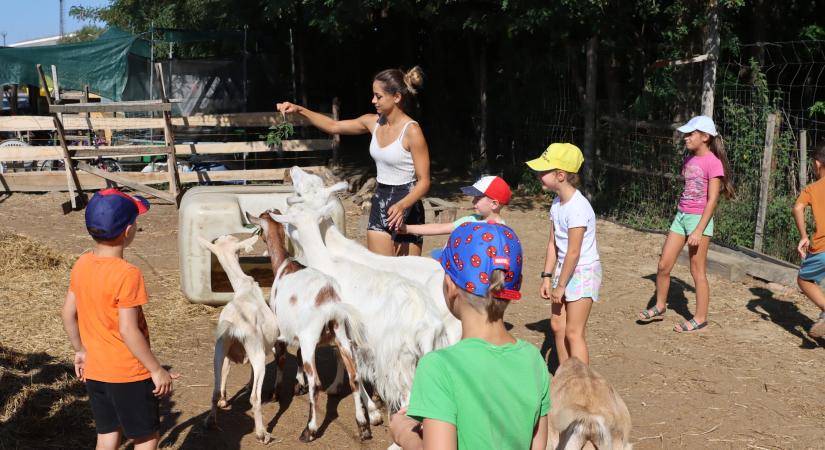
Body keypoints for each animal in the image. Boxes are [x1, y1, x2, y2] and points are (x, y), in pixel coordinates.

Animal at [198, 234, 278, 444]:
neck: (244, 287)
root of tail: (234, 325)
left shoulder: (227, 353)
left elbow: (226, 375)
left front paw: (225, 400)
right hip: (257, 351)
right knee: (255, 398)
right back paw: (262, 433)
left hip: (219, 349)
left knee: (215, 391)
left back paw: (210, 421)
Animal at [268, 204, 450, 414]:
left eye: (290, 219)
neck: (327, 262)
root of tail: (429, 327)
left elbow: (350, 366)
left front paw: (368, 407)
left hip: (399, 360)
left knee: (407, 398)